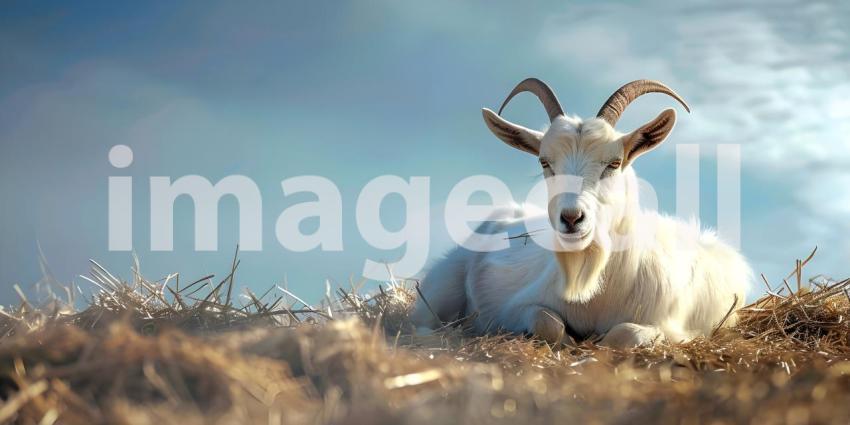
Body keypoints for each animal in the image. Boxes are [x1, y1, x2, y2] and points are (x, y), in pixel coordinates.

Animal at [411, 78, 751, 348]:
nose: (572, 218)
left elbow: (623, 335)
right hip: (444, 283)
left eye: (614, 163)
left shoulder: (678, 327)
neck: (600, 290)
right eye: (545, 162)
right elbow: (547, 322)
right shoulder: (512, 307)